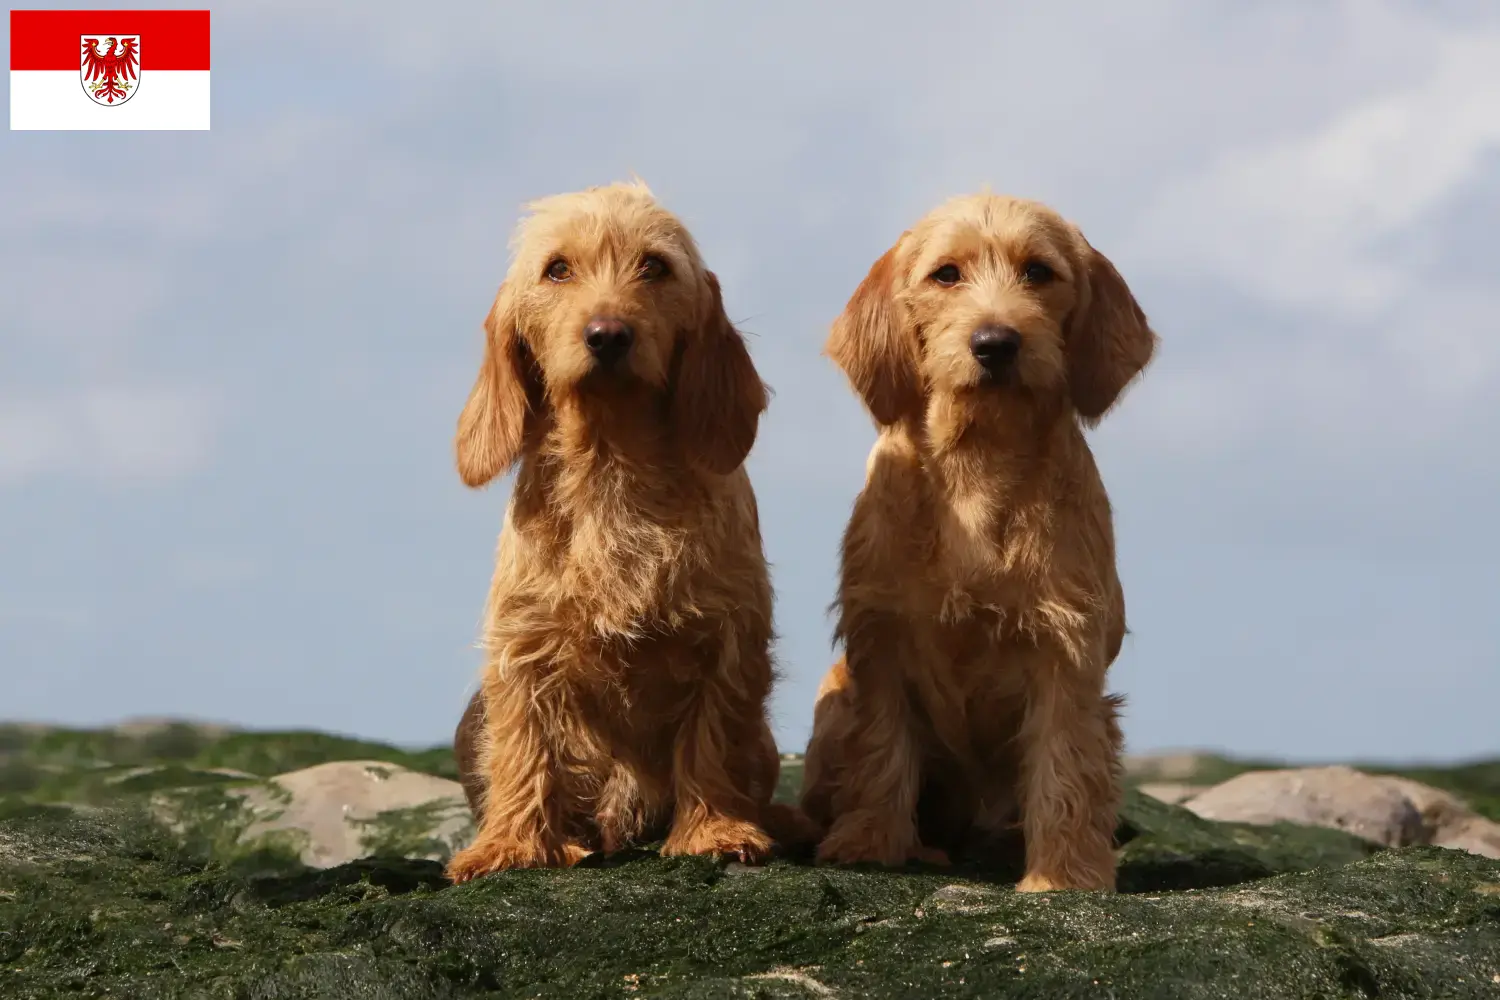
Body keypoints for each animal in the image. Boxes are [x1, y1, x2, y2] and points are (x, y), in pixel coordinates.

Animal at [441, 182, 810, 881]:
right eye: (557, 269)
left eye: (655, 267)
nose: (608, 335)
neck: (613, 466)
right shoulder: (522, 644)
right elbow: (524, 744)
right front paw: (511, 845)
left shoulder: (727, 639)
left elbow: (712, 737)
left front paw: (715, 830)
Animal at [804, 189, 1152, 893]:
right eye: (946, 275)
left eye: (1038, 272)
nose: (995, 343)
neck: (979, 459)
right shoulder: (881, 641)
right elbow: (881, 749)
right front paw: (870, 845)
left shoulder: (1066, 652)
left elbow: (1066, 766)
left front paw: (1064, 877)